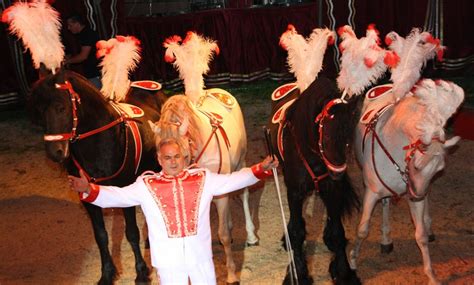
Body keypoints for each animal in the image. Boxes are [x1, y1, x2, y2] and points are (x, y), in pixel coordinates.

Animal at [29, 67, 167, 282]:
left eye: (61, 107)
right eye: (40, 111)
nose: (55, 152)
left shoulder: (124, 192)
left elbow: (131, 232)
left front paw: (142, 272)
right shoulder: (89, 198)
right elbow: (101, 236)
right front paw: (107, 274)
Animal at [151, 90, 256, 282]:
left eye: (183, 155)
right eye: (159, 155)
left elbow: (223, 233)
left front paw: (231, 274)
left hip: (241, 161)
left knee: (243, 194)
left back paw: (251, 236)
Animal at [266, 76, 360, 282]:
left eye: (348, 139)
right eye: (326, 139)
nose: (338, 172)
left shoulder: (332, 188)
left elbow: (338, 232)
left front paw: (343, 272)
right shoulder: (295, 192)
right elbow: (297, 231)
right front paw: (298, 272)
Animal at [350, 78, 464, 284]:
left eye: (439, 169)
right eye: (416, 165)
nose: (416, 196)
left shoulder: (416, 190)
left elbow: (421, 235)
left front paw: (431, 275)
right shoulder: (371, 192)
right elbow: (362, 229)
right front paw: (353, 260)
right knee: (386, 204)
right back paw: (386, 239)